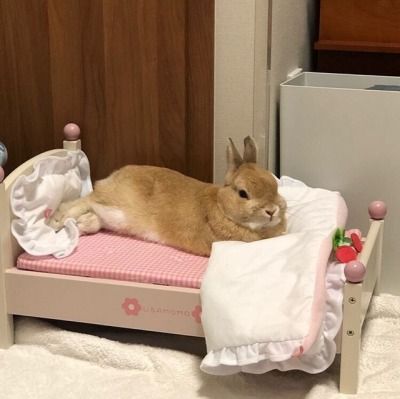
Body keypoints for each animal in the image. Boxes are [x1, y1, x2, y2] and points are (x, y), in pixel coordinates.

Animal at [48, 137, 286, 256]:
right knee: (84, 201)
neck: (221, 207)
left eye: (275, 184)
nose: (272, 210)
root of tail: (114, 176)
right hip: (115, 205)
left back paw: (82, 223)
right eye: (243, 193)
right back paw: (55, 222)